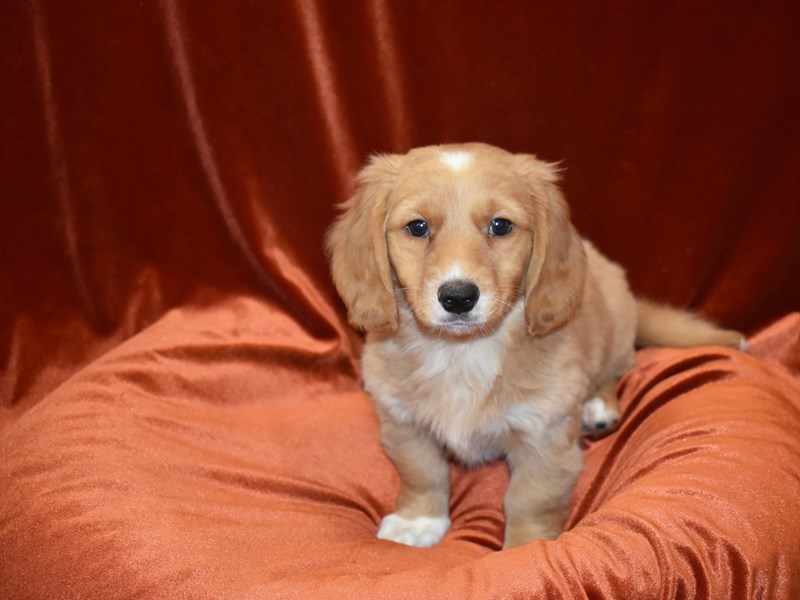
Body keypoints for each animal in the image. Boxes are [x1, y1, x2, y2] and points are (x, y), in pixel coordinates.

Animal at [326, 143, 744, 552]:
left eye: (500, 226)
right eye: (417, 227)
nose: (458, 298)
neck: (462, 353)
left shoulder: (545, 436)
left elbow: (529, 499)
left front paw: (526, 550)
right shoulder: (403, 422)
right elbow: (423, 472)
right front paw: (418, 522)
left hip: (614, 340)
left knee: (616, 371)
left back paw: (598, 407)